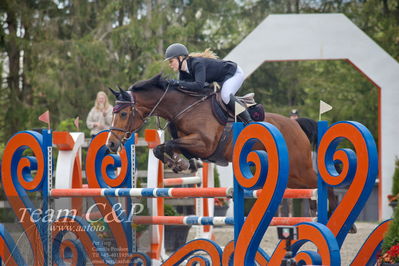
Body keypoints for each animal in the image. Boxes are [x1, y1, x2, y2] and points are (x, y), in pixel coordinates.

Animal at [107, 74, 340, 218]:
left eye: (124, 113)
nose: (111, 144)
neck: (184, 107)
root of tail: (295, 124)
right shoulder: (191, 143)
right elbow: (162, 148)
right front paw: (181, 164)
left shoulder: (204, 144)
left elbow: (169, 144)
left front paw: (180, 164)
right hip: (292, 175)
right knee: (310, 188)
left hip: (300, 167)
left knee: (322, 184)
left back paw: (334, 214)